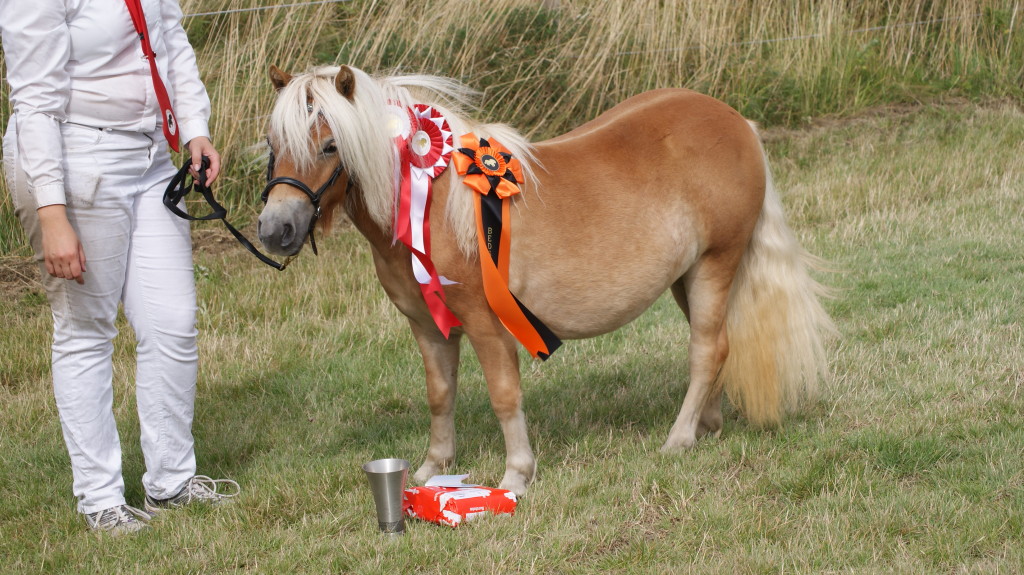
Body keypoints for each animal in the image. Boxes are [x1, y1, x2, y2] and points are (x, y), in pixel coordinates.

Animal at [256, 61, 831, 493]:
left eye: (330, 146)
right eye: (273, 143)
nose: (275, 229)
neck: (432, 204)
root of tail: (736, 122)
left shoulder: (486, 322)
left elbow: (504, 394)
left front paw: (516, 475)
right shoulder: (427, 326)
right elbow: (440, 396)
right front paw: (431, 469)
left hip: (717, 263)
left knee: (708, 349)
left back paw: (679, 439)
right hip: (687, 278)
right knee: (715, 347)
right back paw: (706, 427)